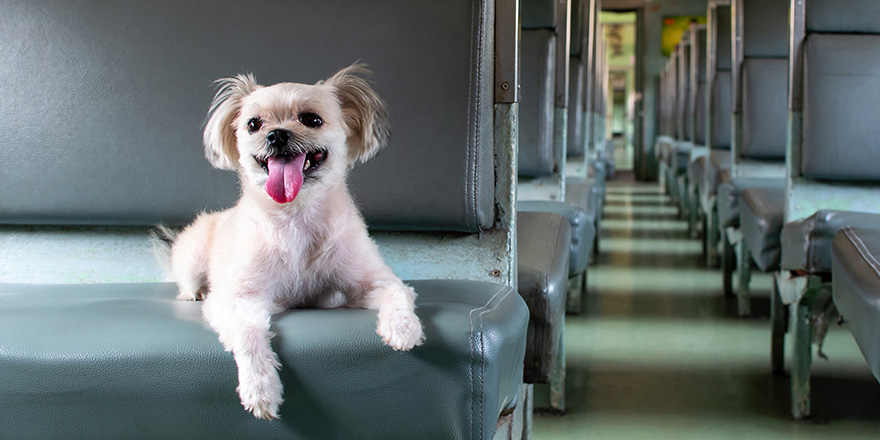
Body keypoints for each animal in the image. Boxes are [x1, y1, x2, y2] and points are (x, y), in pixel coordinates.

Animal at [157, 65, 426, 420]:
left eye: (311, 119)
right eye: (253, 124)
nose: (277, 134)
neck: (296, 215)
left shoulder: (370, 281)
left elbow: (397, 293)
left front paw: (403, 328)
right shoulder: (237, 297)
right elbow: (248, 334)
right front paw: (260, 387)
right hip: (192, 259)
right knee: (186, 283)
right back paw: (195, 292)